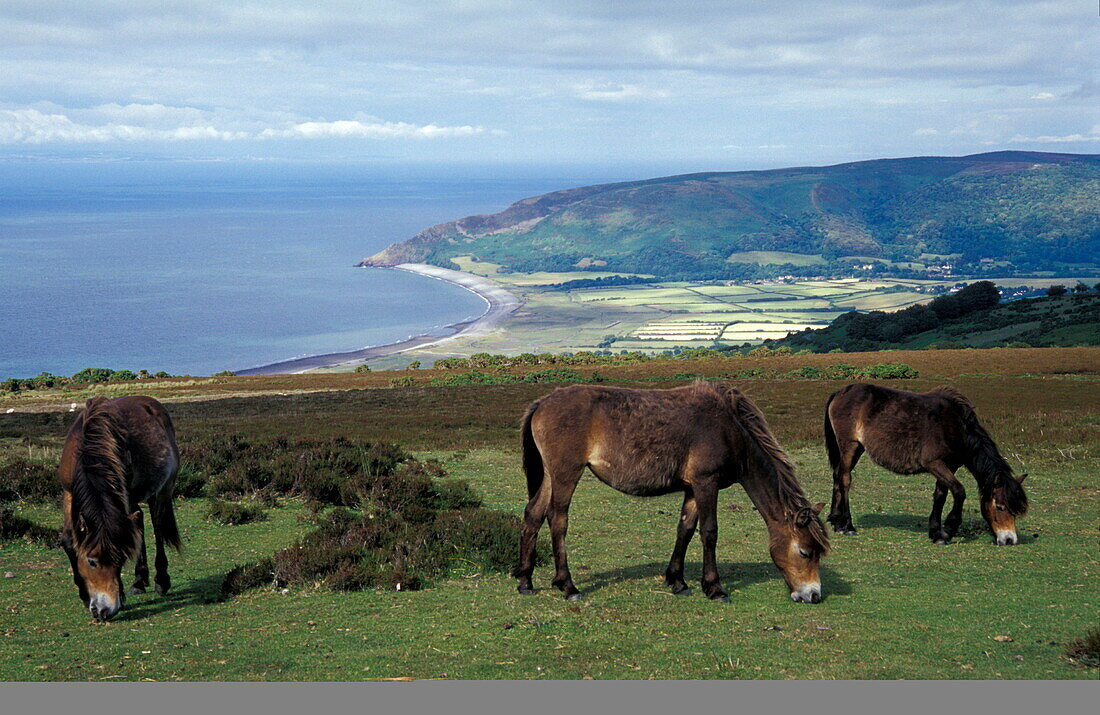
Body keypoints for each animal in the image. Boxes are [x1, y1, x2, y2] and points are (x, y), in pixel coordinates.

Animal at [58, 391, 180, 620]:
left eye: (121, 559)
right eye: (92, 561)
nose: (104, 611)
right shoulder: (69, 493)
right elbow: (69, 541)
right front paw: (84, 595)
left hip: (162, 489)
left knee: (157, 526)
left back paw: (160, 580)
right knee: (139, 521)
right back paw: (139, 582)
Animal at [510, 378, 827, 602]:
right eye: (804, 551)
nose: (813, 595)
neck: (730, 429)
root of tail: (542, 403)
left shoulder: (692, 487)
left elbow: (685, 529)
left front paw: (678, 581)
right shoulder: (707, 482)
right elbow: (709, 531)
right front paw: (714, 588)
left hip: (550, 475)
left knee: (533, 515)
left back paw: (525, 581)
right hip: (566, 474)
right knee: (557, 520)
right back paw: (568, 586)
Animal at [827, 380, 1029, 543]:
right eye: (1000, 507)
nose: (1010, 539)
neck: (955, 426)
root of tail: (841, 392)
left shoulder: (949, 466)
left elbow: (940, 495)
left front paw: (936, 533)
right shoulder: (934, 464)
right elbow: (959, 491)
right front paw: (949, 529)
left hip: (857, 449)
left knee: (837, 476)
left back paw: (836, 521)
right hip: (849, 446)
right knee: (845, 480)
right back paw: (848, 526)